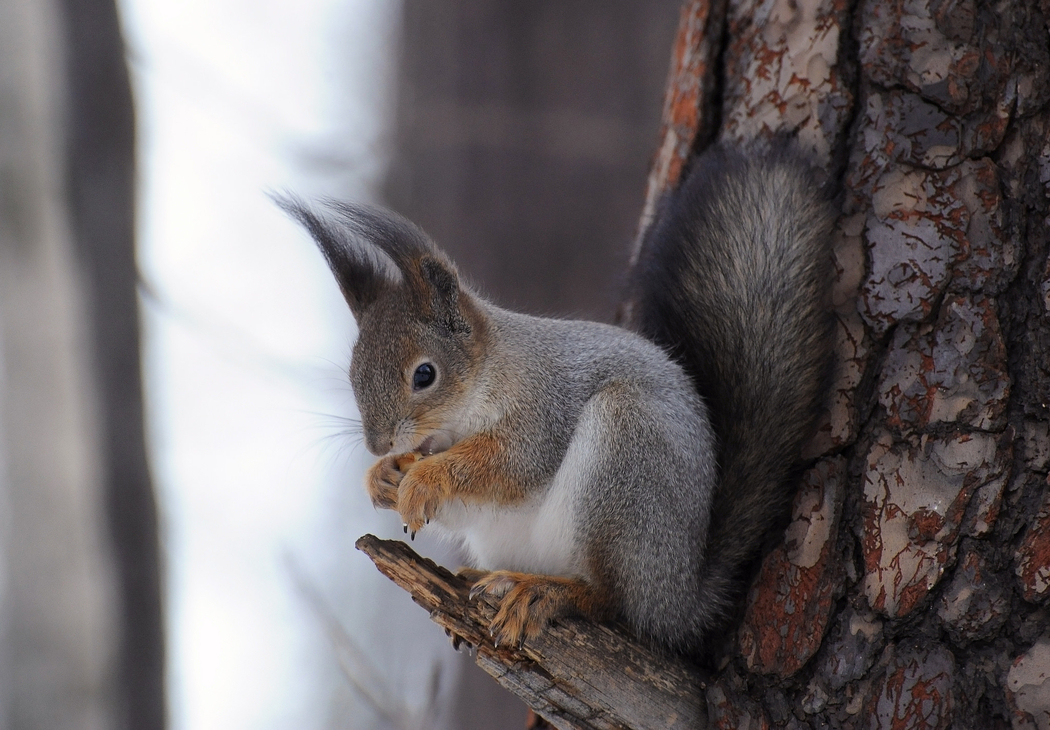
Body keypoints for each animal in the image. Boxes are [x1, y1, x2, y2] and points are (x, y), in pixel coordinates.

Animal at [279, 143, 835, 655]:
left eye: (424, 374)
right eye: (353, 373)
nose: (377, 445)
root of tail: (679, 598)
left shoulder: (543, 407)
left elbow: (511, 463)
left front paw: (422, 479)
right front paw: (384, 477)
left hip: (626, 462)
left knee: (613, 602)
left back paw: (544, 593)